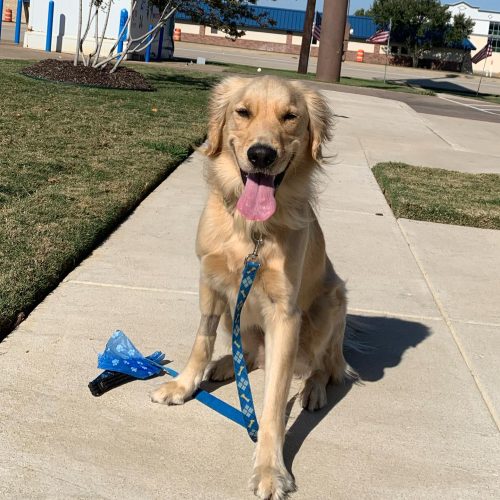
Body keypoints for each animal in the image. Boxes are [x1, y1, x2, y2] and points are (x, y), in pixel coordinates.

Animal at [150, 75, 350, 500]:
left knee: (323, 365)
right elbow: (202, 341)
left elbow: (273, 403)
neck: (253, 230)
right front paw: (184, 385)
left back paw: (313, 389)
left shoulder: (285, 314)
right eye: (242, 112)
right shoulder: (210, 281)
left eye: (290, 117)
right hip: (234, 308)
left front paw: (270, 468)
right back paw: (227, 364)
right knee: (252, 355)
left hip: (331, 302)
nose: (260, 155)